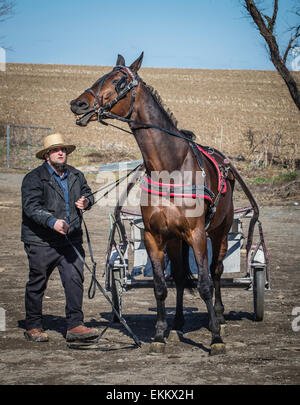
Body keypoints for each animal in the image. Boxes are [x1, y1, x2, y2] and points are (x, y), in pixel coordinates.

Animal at [70, 52, 234, 354]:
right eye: (101, 76)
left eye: (119, 81)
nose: (78, 104)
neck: (170, 167)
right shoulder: (155, 236)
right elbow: (160, 286)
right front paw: (159, 333)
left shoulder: (197, 234)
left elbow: (205, 284)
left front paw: (216, 338)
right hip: (176, 240)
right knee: (179, 276)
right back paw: (178, 321)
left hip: (220, 231)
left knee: (216, 272)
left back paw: (218, 315)